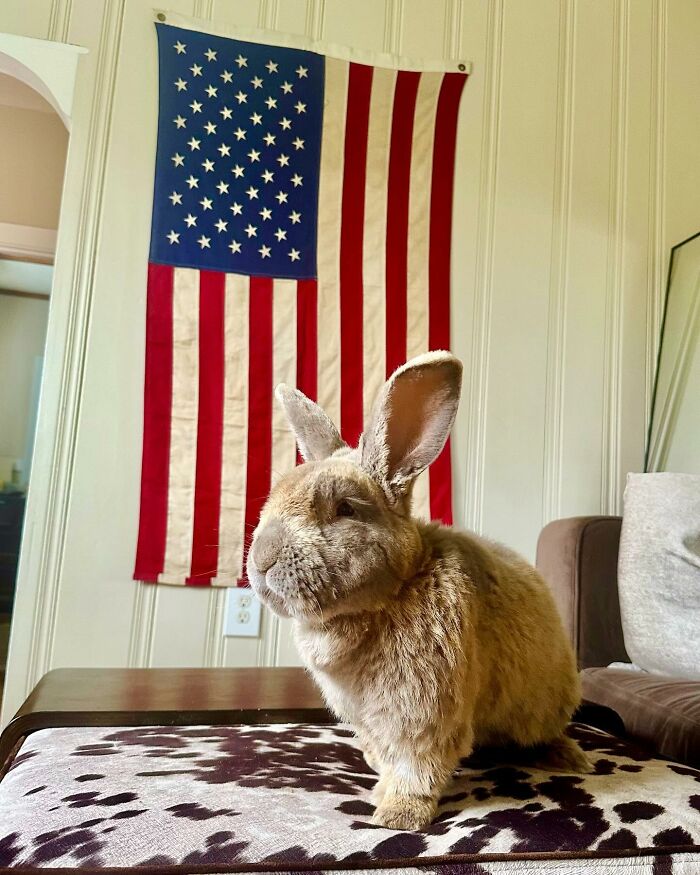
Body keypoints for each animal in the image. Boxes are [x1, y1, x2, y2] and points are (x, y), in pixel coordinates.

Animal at [248, 351, 589, 832]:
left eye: (345, 508)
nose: (261, 559)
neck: (392, 593)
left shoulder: (422, 714)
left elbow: (416, 767)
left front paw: (397, 815)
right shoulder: (372, 723)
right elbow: (388, 759)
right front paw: (380, 790)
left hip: (545, 703)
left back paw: (570, 758)